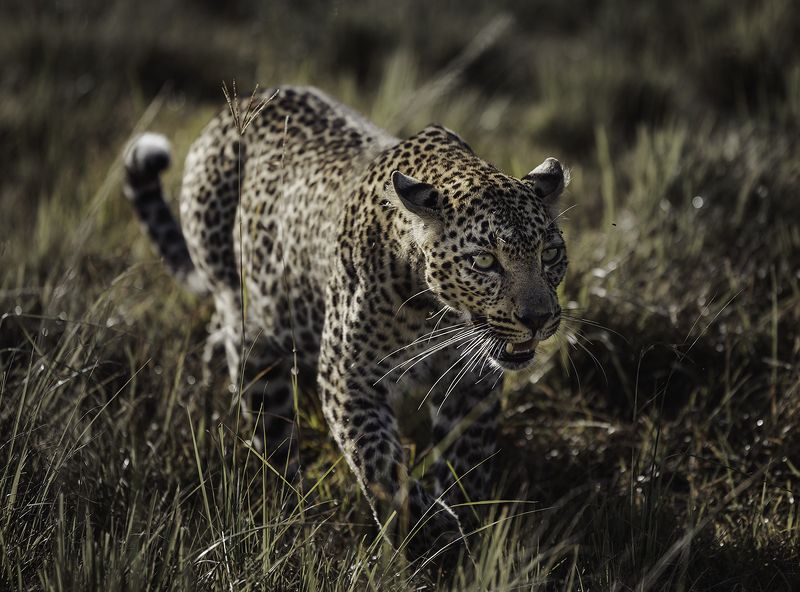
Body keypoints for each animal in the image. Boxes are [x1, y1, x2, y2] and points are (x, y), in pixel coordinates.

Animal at [122, 86, 569, 559]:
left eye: (550, 254)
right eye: (484, 261)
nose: (539, 318)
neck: (441, 313)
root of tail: (237, 105)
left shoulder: (473, 382)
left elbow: (466, 464)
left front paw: (465, 530)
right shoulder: (348, 376)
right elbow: (381, 463)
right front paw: (433, 534)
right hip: (250, 332)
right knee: (271, 432)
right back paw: (292, 507)